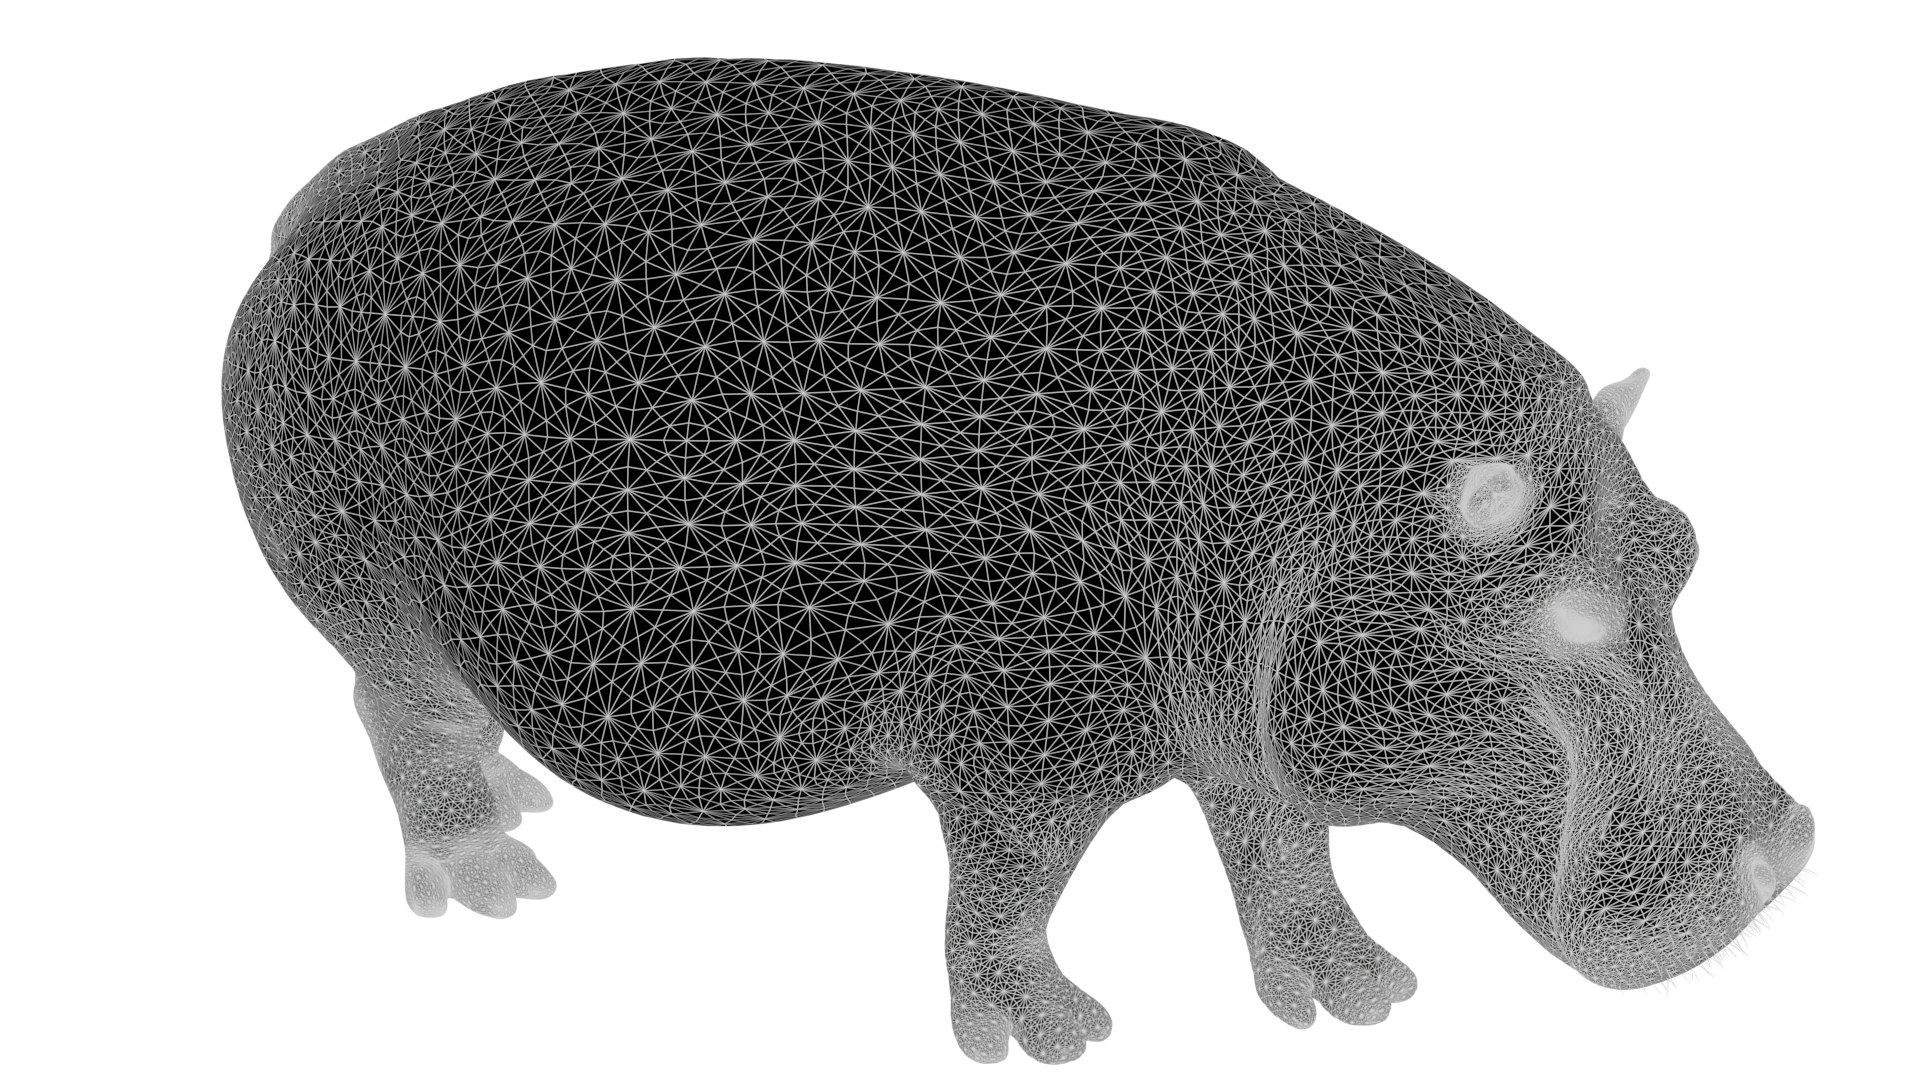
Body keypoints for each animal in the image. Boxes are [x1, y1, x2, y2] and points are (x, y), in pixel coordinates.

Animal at [221, 57, 1815, 1063]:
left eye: (1685, 552)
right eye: (1552, 622)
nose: (1778, 858)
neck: (1286, 488)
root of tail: (307, 202)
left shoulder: (1228, 705)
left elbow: (1275, 838)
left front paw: (1359, 1000)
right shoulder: (1019, 737)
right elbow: (1011, 885)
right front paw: (1052, 1039)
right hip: (371, 597)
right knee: (394, 713)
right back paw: (491, 873)